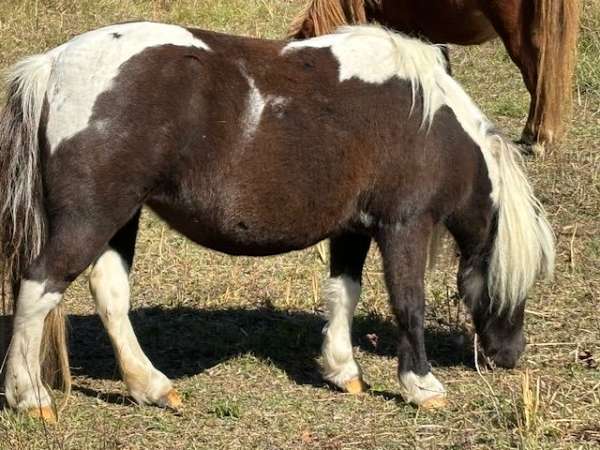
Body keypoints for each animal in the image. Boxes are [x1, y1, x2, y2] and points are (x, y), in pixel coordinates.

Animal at [0, 22, 556, 422]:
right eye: (519, 282)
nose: (510, 356)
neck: (431, 124)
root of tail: (54, 65)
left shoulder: (352, 229)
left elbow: (344, 293)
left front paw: (342, 370)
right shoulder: (405, 225)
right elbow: (409, 304)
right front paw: (422, 386)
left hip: (120, 217)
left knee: (110, 295)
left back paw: (151, 387)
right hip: (93, 216)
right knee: (39, 284)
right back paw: (30, 397)